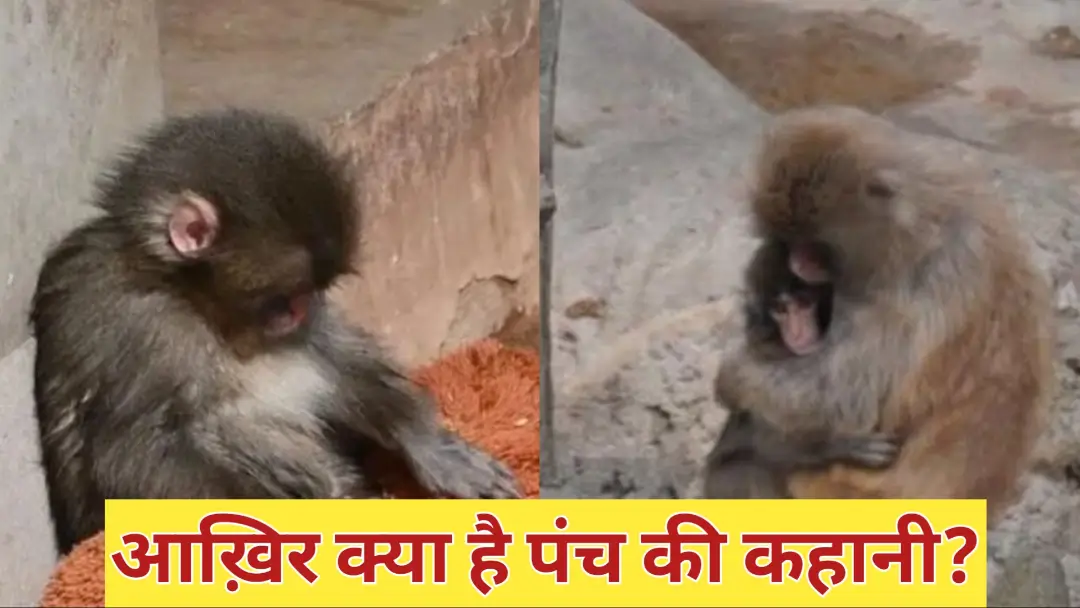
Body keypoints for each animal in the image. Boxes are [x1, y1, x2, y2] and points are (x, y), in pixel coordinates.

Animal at [29, 108, 523, 555]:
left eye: (310, 293)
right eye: (286, 297)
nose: (303, 311)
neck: (188, 296)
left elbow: (328, 351)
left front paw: (427, 441)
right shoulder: (130, 323)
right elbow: (130, 451)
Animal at [710, 105, 1054, 522]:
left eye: (813, 246)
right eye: (791, 241)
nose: (797, 263)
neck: (921, 222)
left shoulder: (915, 281)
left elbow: (848, 395)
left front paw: (733, 375)